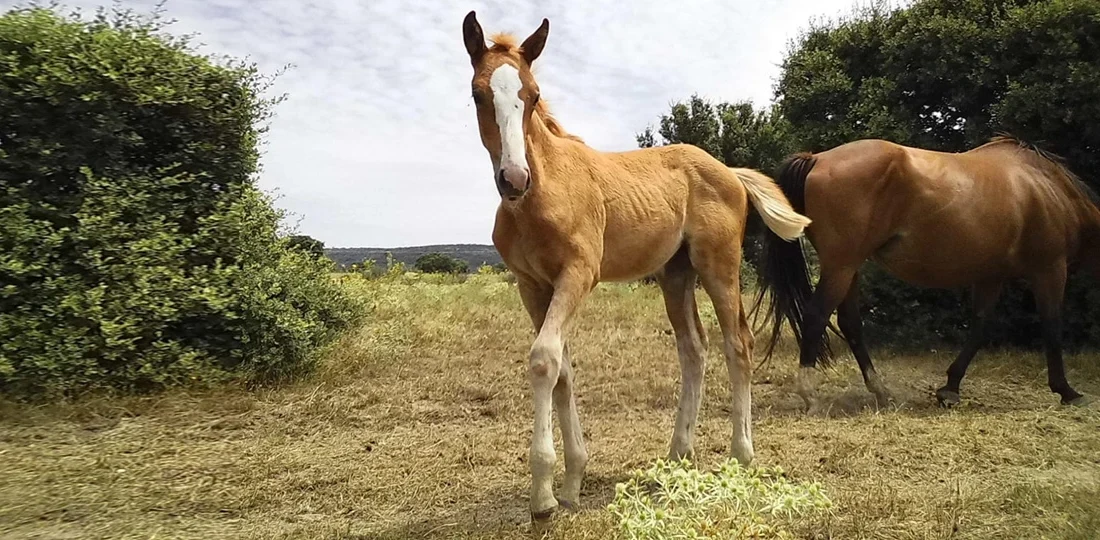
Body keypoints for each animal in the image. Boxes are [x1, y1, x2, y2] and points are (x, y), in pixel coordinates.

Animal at [459, 11, 814, 519]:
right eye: (478, 93)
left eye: (534, 94)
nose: (513, 178)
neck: (539, 196)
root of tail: (729, 171)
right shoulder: (531, 285)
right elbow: (563, 369)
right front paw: (571, 483)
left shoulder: (578, 275)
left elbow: (544, 359)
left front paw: (543, 495)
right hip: (675, 274)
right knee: (694, 348)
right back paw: (678, 454)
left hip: (718, 264)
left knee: (738, 344)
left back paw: (740, 455)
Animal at [756, 136, 1100, 413]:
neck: (1046, 189)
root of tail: (818, 158)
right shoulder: (1050, 269)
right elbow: (1052, 326)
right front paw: (1067, 390)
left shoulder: (991, 275)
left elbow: (979, 327)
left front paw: (950, 388)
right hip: (842, 265)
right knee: (817, 316)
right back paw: (811, 395)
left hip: (847, 267)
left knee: (850, 322)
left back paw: (880, 391)